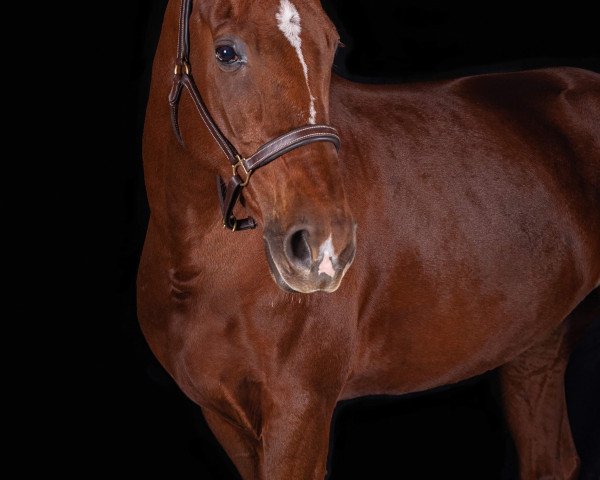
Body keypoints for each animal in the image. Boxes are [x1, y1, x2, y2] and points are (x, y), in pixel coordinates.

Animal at [137, 0, 600, 476]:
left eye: (331, 44)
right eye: (226, 52)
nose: (324, 246)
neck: (196, 267)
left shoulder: (300, 410)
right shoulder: (227, 419)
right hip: (538, 346)